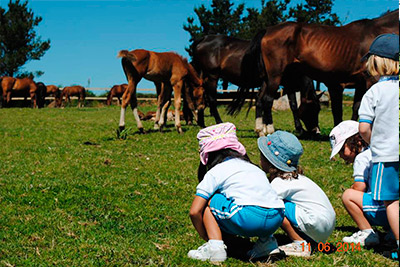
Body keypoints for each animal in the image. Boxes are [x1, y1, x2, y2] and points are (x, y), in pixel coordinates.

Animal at [191, 34, 322, 137]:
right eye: (314, 108)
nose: (316, 131)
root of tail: (204, 38)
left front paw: (263, 128)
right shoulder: (283, 84)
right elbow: (291, 105)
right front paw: (299, 129)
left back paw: (202, 124)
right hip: (212, 76)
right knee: (212, 100)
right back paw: (219, 122)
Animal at [248, 9, 398, 136]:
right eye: (314, 109)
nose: (315, 131)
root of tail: (268, 30)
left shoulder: (360, 83)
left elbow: (356, 107)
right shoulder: (352, 83)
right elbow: (338, 110)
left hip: (269, 78)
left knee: (260, 99)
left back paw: (261, 130)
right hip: (275, 76)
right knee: (267, 100)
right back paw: (270, 130)